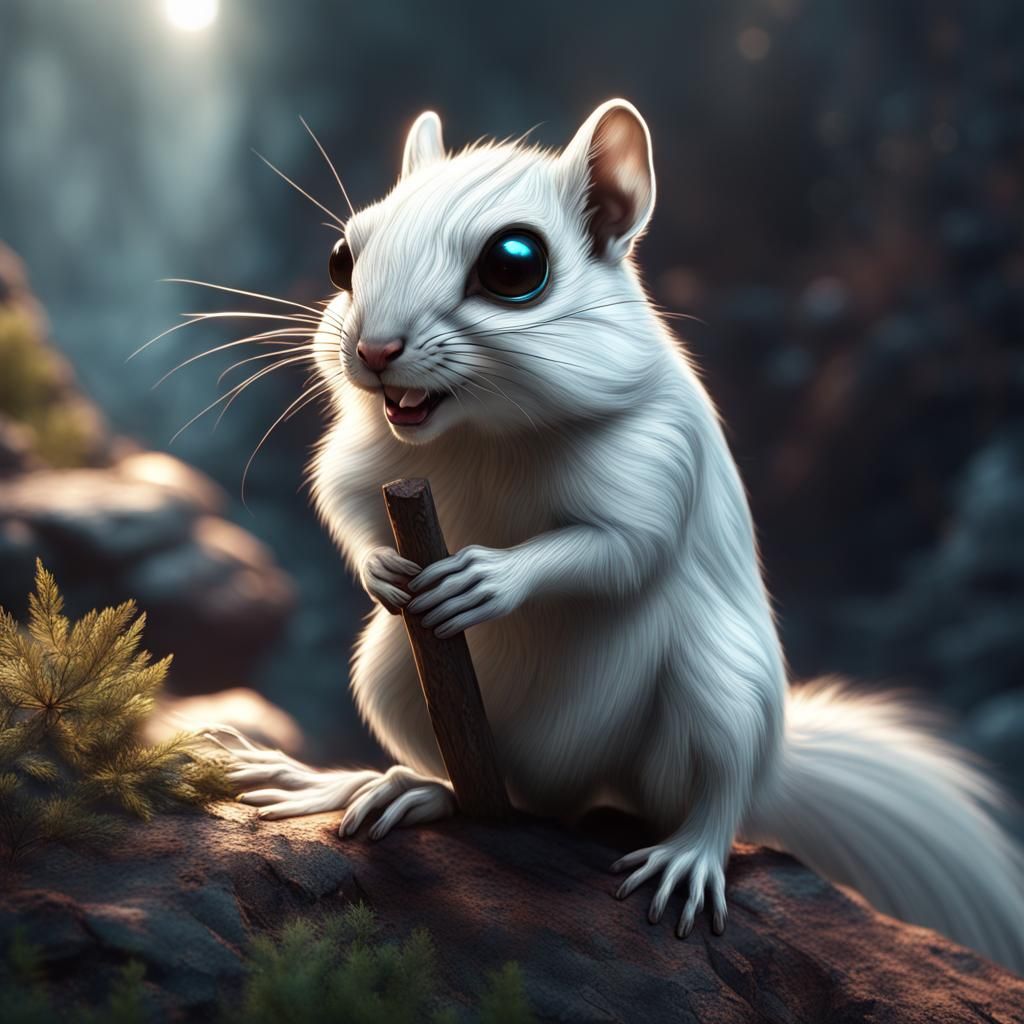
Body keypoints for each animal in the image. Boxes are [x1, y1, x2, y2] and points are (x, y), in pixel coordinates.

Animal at [217, 100, 1024, 970]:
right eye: (343, 256)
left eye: (514, 265)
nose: (374, 350)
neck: (484, 432)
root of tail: (564, 788)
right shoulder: (367, 455)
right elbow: (341, 500)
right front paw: (380, 570)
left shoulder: (658, 456)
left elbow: (617, 549)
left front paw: (488, 580)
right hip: (394, 674)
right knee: (472, 793)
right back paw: (392, 786)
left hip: (720, 686)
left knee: (719, 794)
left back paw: (689, 857)